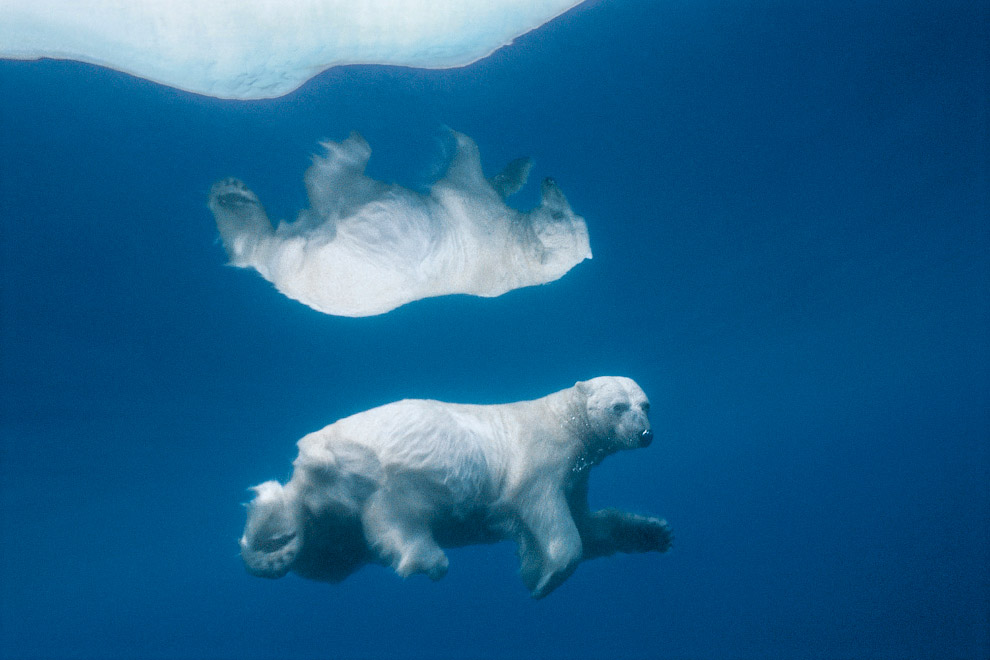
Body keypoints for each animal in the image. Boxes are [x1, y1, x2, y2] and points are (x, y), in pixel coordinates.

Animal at [203, 131, 588, 318]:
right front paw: (522, 166)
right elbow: (493, 181)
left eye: (559, 216)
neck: (512, 256)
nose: (551, 182)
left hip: (318, 255)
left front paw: (454, 138)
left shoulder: (475, 213)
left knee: (328, 193)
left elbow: (465, 168)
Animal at [240, 376, 676, 600]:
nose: (645, 434)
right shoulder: (541, 457)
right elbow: (548, 514)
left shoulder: (578, 474)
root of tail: (307, 467)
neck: (564, 419)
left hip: (333, 518)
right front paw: (543, 577)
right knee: (395, 516)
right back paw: (427, 559)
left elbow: (590, 523)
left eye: (646, 404)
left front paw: (654, 532)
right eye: (618, 407)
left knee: (325, 555)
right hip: (390, 472)